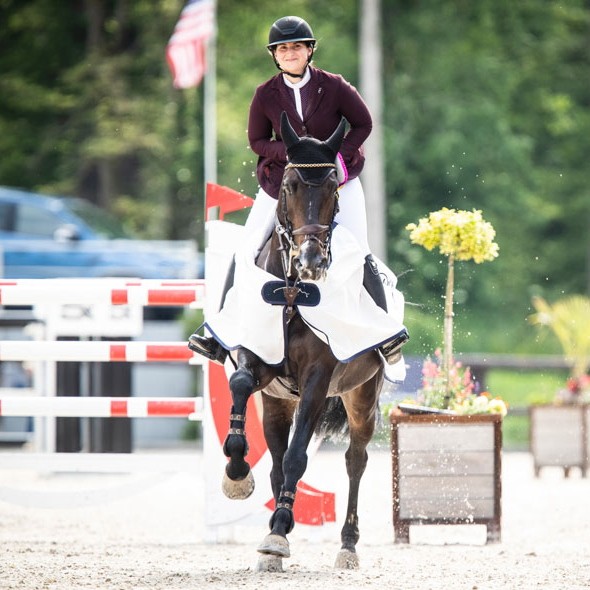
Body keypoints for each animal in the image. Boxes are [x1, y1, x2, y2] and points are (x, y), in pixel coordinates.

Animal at [222, 112, 388, 572]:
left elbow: (299, 455)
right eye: (289, 185)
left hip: (361, 395)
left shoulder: (318, 378)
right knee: (278, 457)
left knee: (355, 459)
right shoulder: (257, 358)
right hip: (278, 401)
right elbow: (240, 386)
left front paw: (278, 534)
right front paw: (237, 474)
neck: (293, 290)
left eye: (333, 188)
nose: (311, 261)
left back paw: (347, 545)